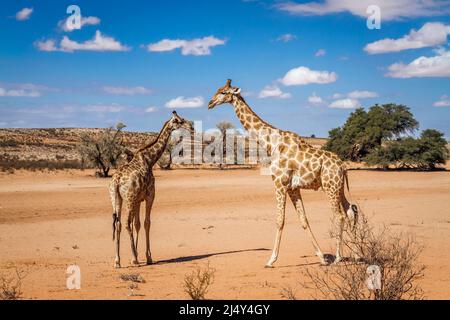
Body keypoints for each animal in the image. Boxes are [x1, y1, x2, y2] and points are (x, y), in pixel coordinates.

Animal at [207, 80, 358, 268]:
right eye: (218, 90)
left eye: (223, 92)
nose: (209, 103)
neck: (270, 143)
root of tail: (342, 166)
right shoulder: (293, 187)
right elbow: (303, 220)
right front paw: (322, 257)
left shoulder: (279, 182)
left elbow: (280, 220)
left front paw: (271, 260)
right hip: (338, 187)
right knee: (351, 210)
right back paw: (355, 254)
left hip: (330, 186)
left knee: (339, 215)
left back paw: (338, 257)